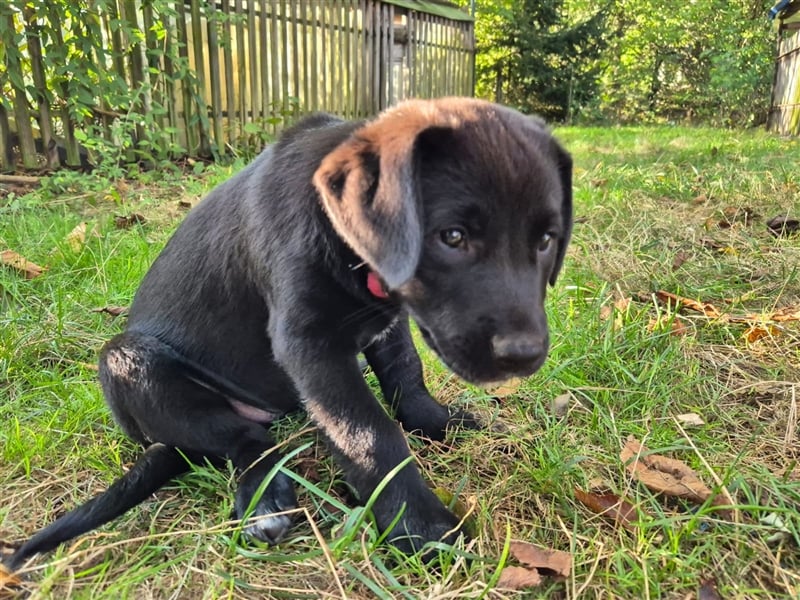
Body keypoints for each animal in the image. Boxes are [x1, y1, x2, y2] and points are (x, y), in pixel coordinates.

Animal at [4, 96, 568, 568]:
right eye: (452, 237)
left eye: (546, 240)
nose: (524, 355)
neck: (350, 250)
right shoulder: (309, 345)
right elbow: (369, 434)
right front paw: (420, 524)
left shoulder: (389, 324)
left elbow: (406, 379)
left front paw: (441, 422)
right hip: (126, 363)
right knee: (246, 438)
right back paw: (265, 502)